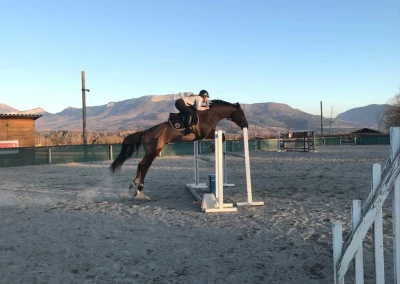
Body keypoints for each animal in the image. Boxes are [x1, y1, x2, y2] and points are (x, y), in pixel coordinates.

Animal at [108, 98, 247, 196]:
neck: (210, 115)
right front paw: (213, 148)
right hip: (154, 151)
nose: (246, 125)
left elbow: (222, 135)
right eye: (241, 112)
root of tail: (146, 132)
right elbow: (222, 136)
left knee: (140, 165)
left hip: (152, 152)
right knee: (144, 166)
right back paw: (139, 187)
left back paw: (134, 184)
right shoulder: (206, 134)